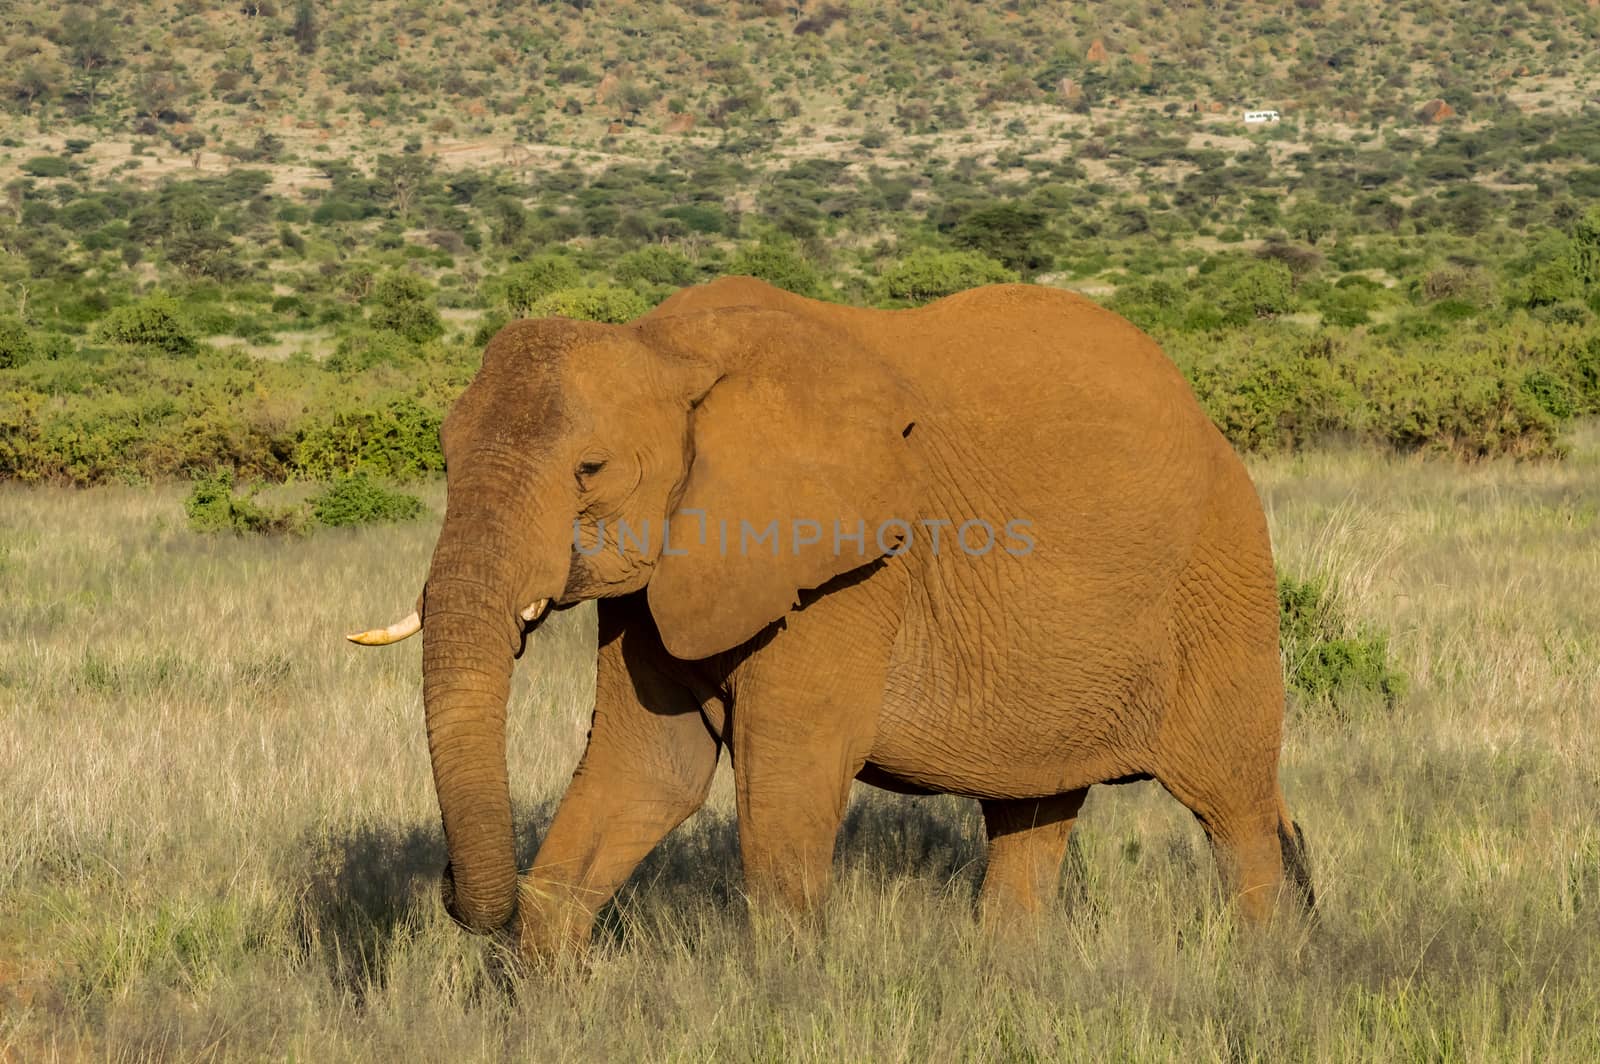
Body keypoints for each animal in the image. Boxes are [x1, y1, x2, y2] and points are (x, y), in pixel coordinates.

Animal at [350, 273, 1312, 953]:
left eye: (590, 470)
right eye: (443, 455)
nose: (446, 885)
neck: (667, 349)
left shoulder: (848, 570)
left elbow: (787, 787)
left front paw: (785, 1005)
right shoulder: (665, 576)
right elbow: (643, 773)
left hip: (1221, 586)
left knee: (1234, 809)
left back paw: (1260, 968)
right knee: (1032, 814)